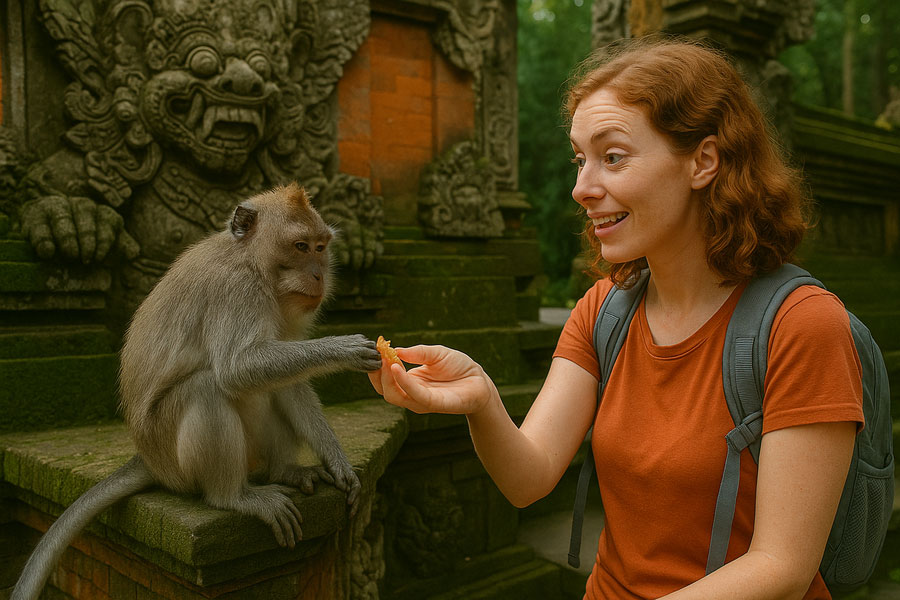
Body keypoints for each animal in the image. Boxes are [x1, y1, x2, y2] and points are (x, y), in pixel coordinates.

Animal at [12, 183, 383, 600]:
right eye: (300, 246)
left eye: (320, 247)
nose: (319, 276)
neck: (252, 262)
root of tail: (147, 458)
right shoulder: (237, 290)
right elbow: (237, 368)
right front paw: (344, 349)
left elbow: (287, 380)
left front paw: (338, 463)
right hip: (172, 458)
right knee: (208, 387)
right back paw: (234, 497)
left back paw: (284, 470)